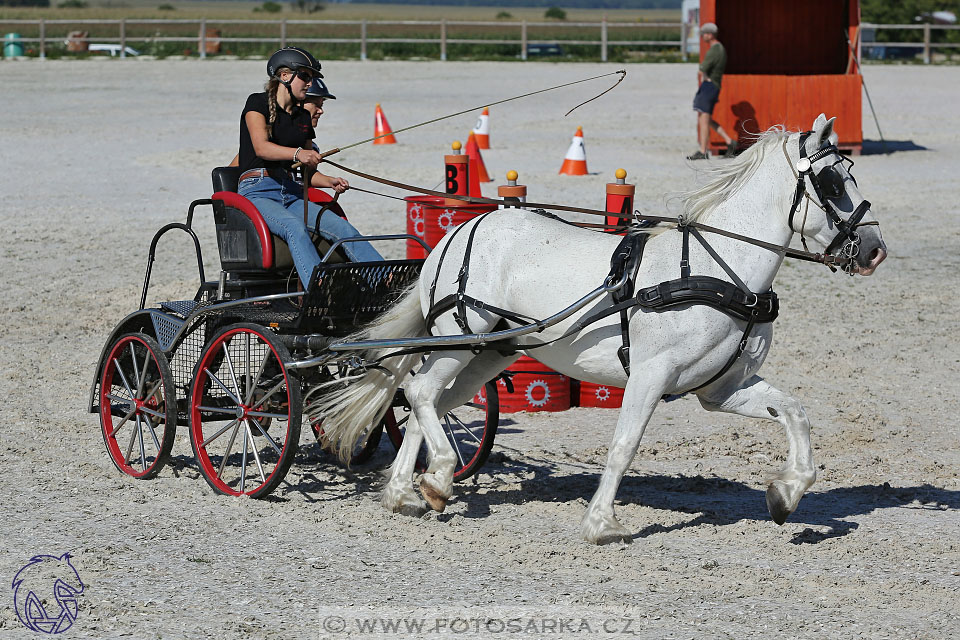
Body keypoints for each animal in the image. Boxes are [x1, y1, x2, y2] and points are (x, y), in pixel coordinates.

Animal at [314, 116, 884, 544]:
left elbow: (795, 412)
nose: (875, 251)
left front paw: (787, 493)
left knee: (424, 401)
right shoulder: (651, 377)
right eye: (833, 183)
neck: (719, 270)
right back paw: (436, 474)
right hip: (461, 340)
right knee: (420, 392)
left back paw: (408, 491)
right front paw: (600, 523)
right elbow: (624, 445)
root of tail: (460, 230)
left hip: (490, 353)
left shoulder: (721, 389)